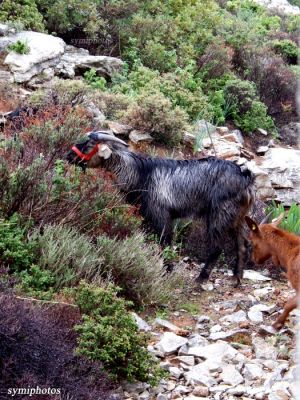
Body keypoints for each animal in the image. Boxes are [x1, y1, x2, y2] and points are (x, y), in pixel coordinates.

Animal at [67, 132, 254, 284]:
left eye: (89, 145)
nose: (69, 155)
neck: (140, 174)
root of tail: (244, 177)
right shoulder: (146, 217)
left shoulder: (161, 215)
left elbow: (164, 243)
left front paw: (167, 270)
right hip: (238, 217)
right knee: (242, 244)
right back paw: (237, 277)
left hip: (219, 215)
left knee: (217, 248)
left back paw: (201, 279)